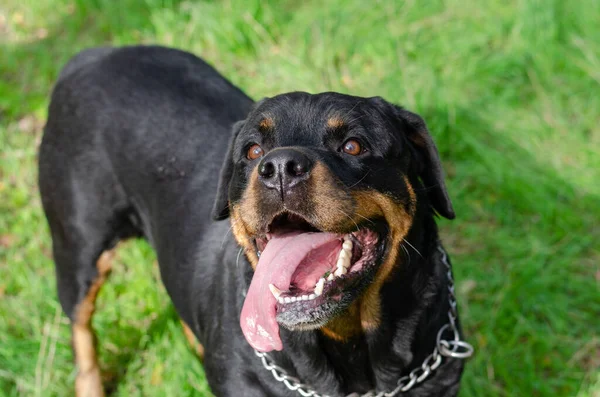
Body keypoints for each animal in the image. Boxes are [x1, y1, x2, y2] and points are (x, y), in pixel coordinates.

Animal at [39, 44, 474, 394]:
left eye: (353, 145)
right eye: (252, 150)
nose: (279, 167)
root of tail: (91, 55)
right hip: (78, 249)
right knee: (81, 329)